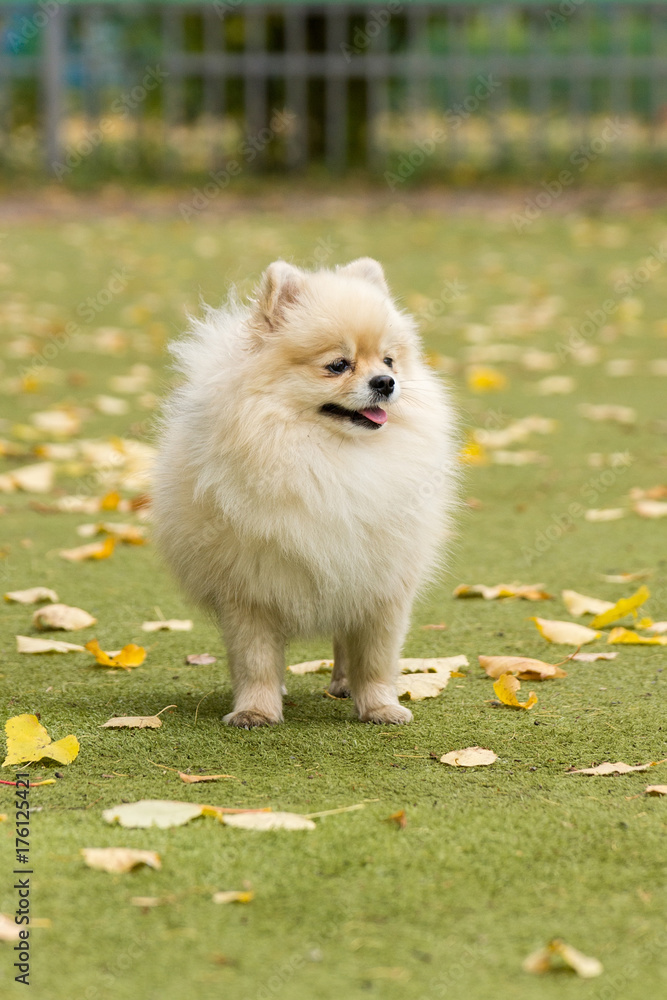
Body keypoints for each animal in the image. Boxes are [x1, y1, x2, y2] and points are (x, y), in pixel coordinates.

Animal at [155, 258, 460, 728]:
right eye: (338, 365)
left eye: (389, 359)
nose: (386, 381)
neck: (331, 457)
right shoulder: (249, 587)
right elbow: (256, 659)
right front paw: (256, 710)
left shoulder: (381, 582)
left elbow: (376, 657)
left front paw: (380, 707)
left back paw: (344, 684)